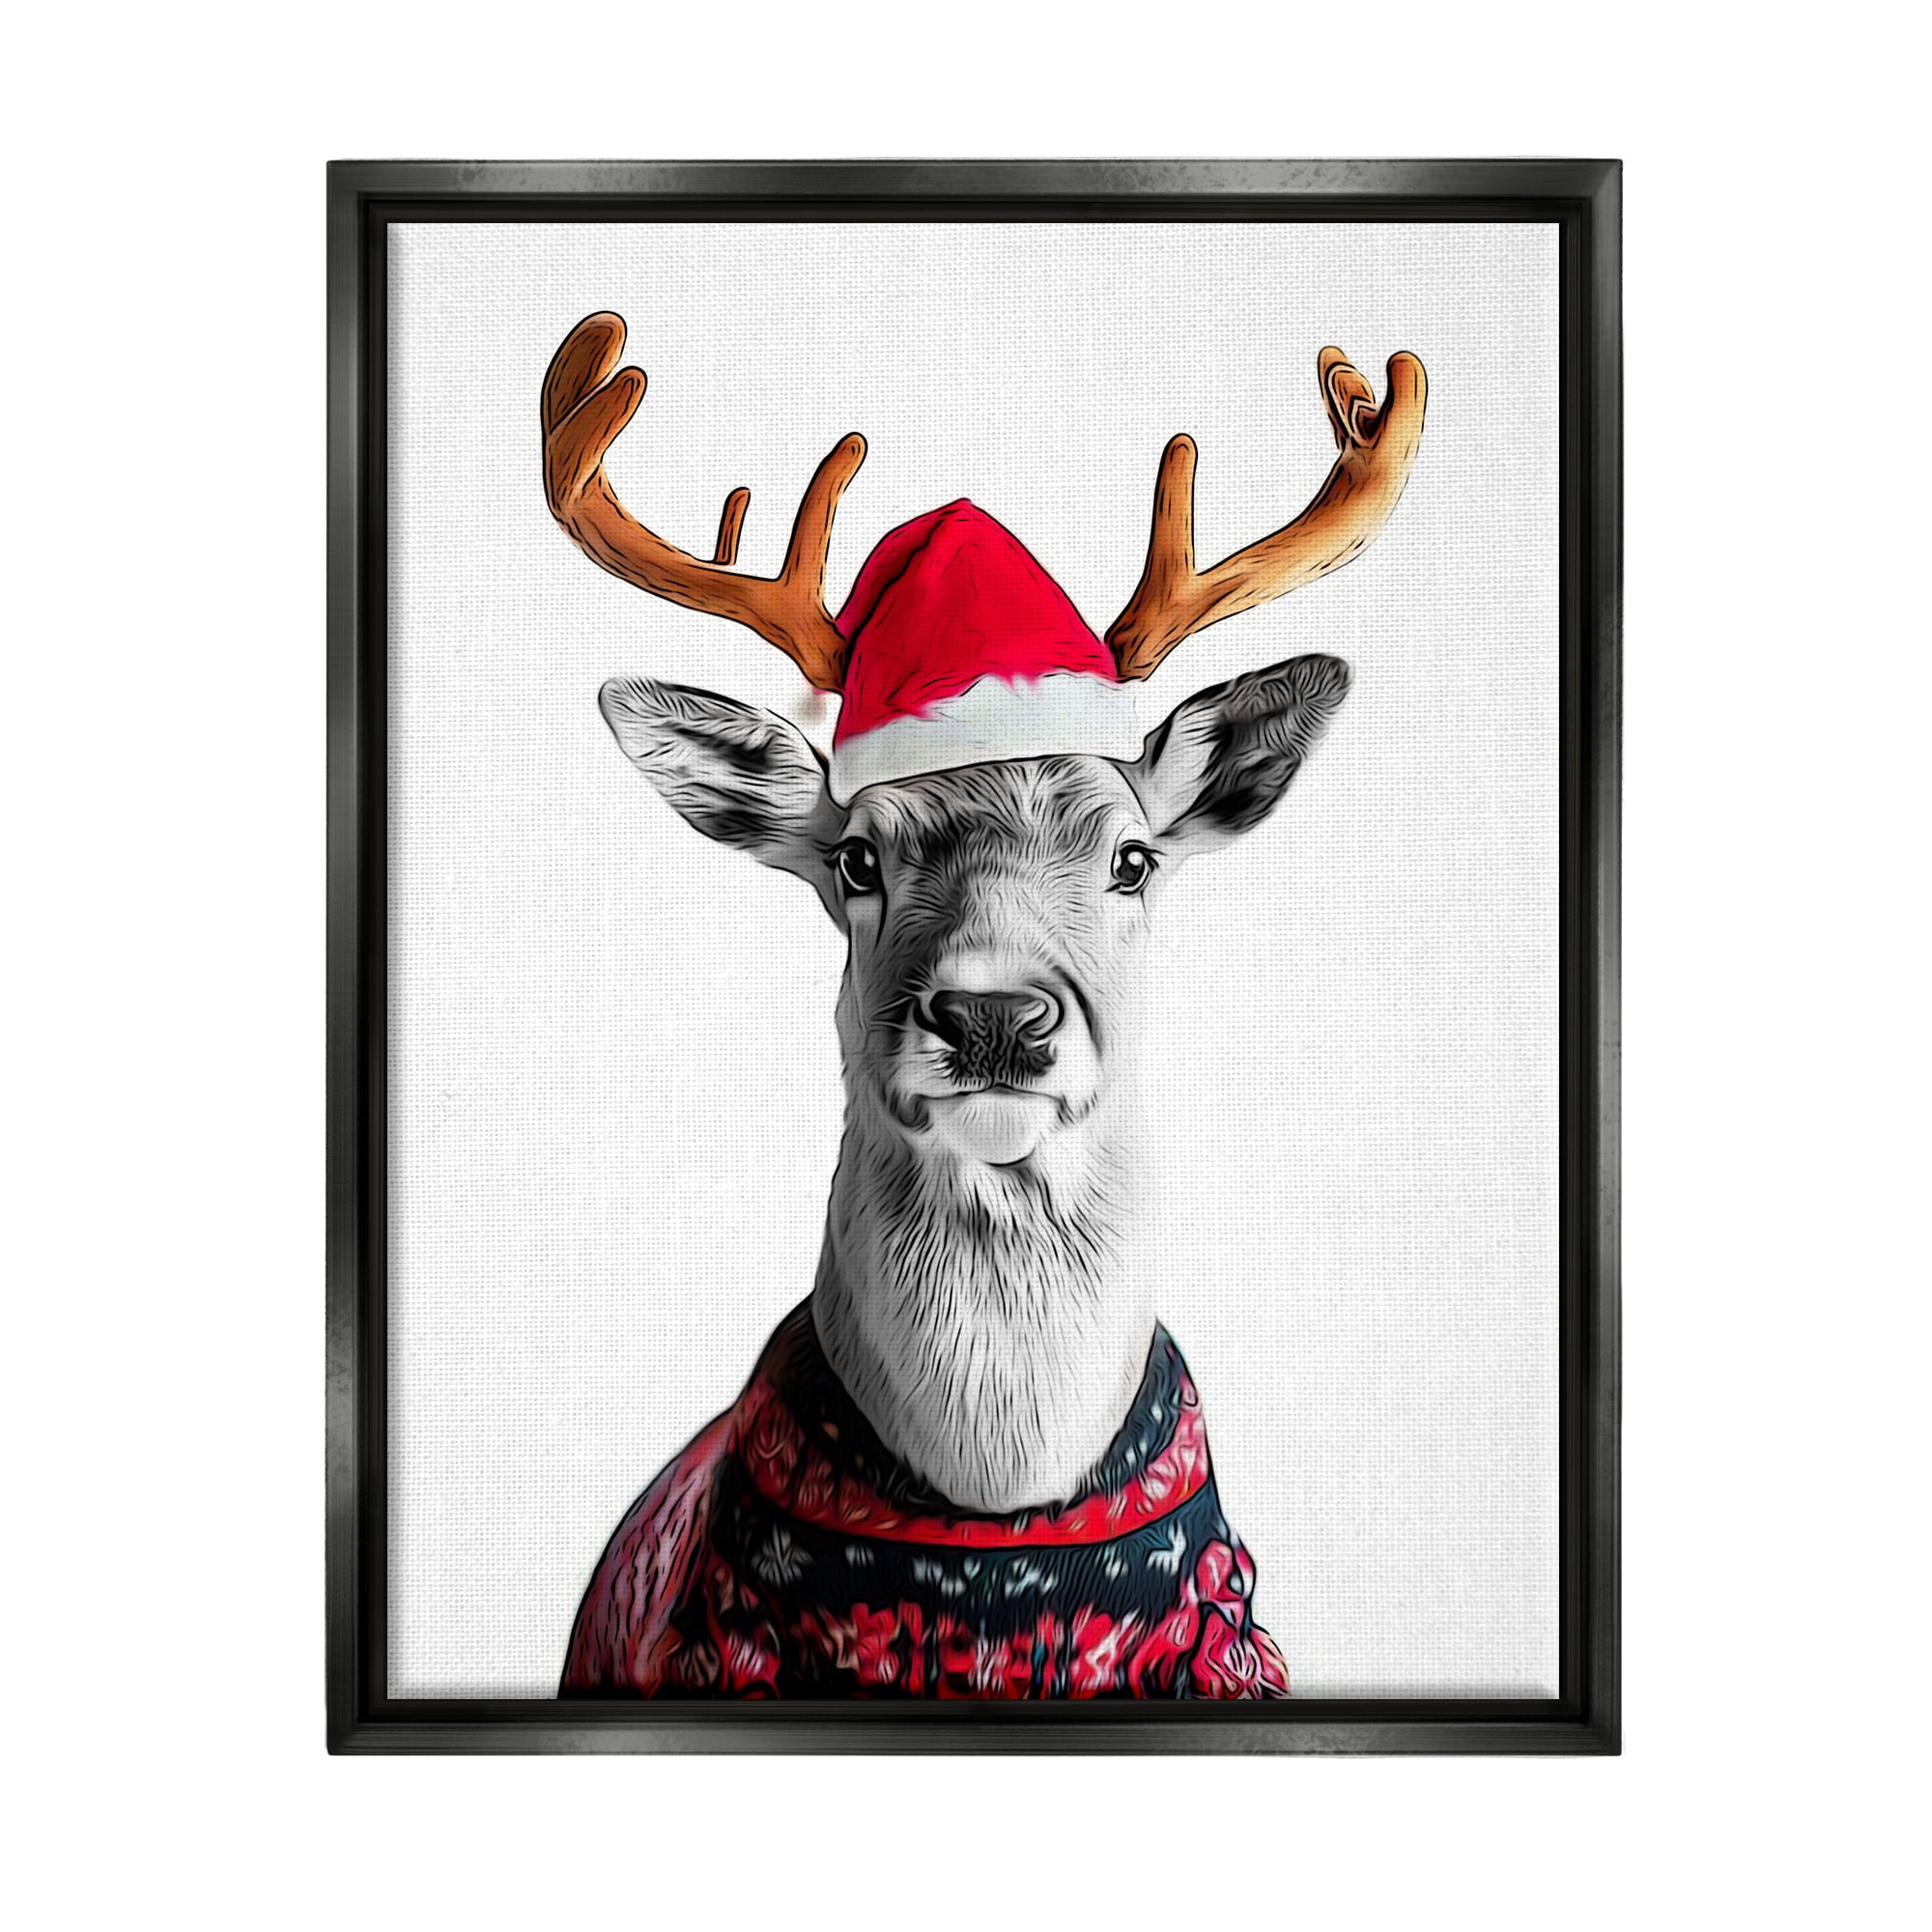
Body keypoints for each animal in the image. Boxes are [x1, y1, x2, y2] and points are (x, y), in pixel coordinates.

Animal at [546, 311, 1426, 1699]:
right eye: (856, 859)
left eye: (1135, 857)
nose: (996, 1017)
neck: (996, 1527)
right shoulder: (718, 1642)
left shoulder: (1224, 1639)